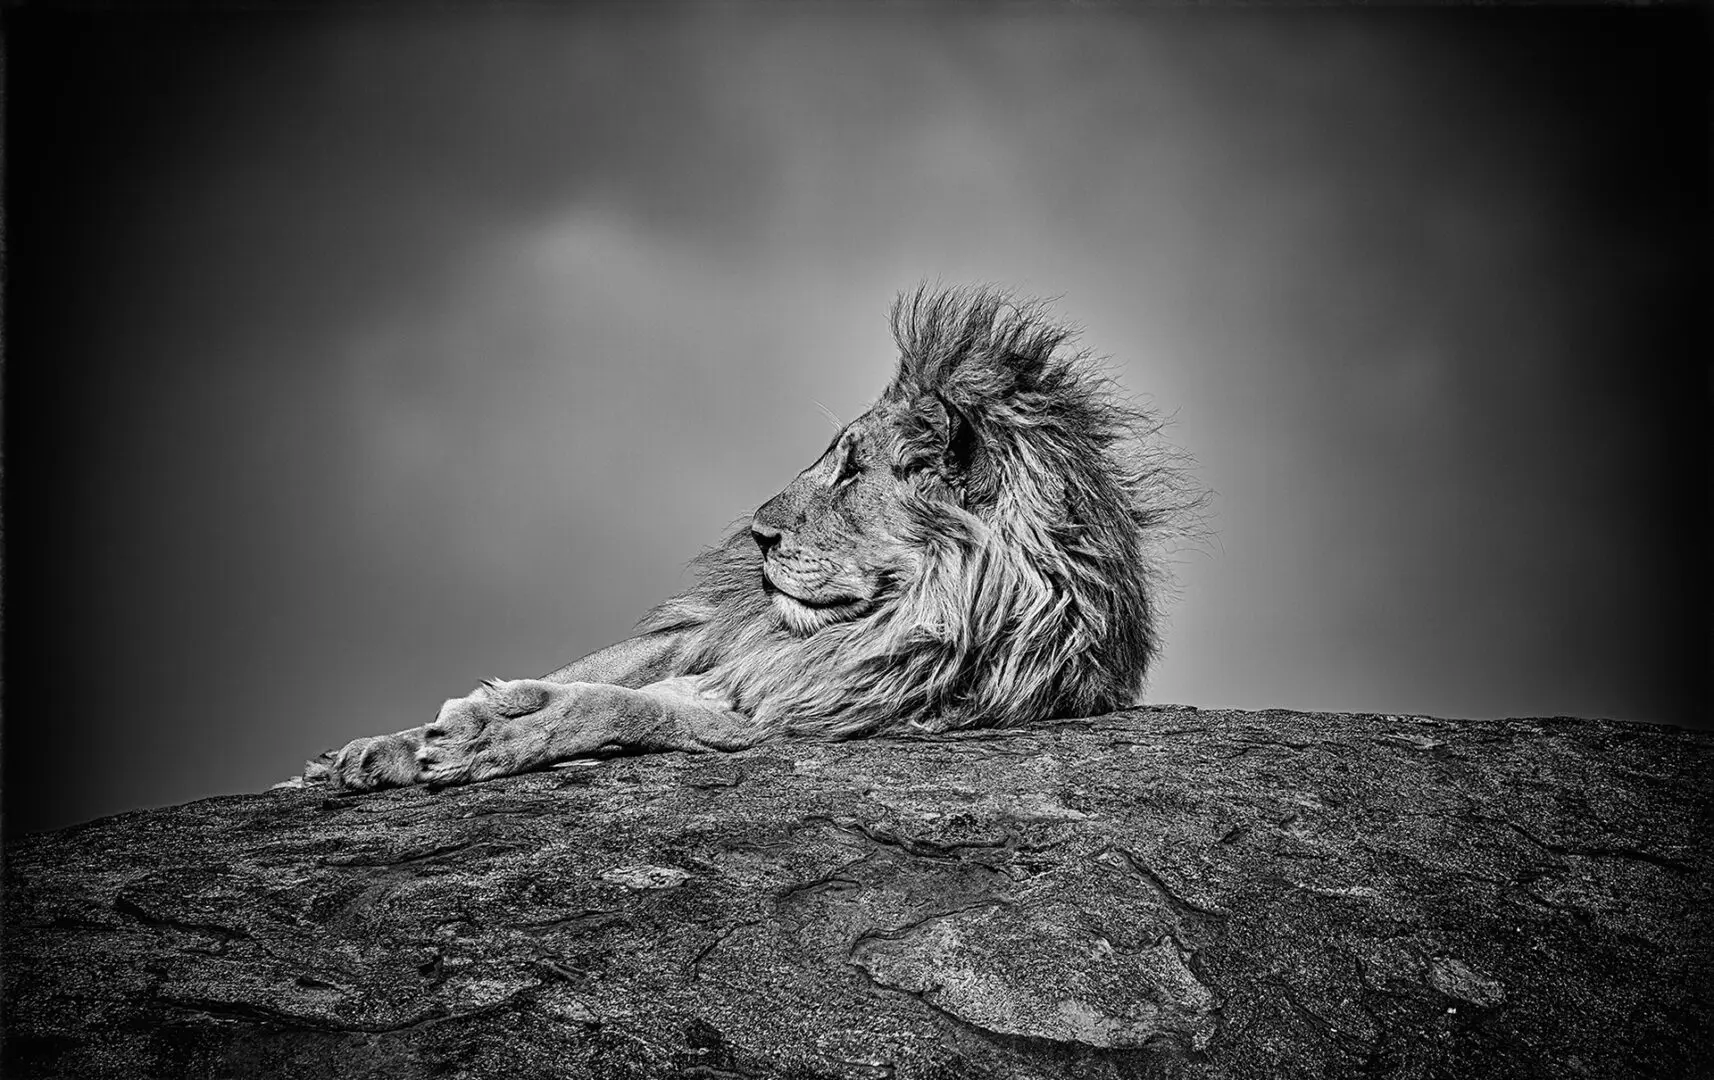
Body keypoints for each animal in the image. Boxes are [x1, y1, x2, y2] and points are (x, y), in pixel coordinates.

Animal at [301, 288, 1199, 795]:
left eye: (852, 472)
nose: (757, 535)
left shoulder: (809, 712)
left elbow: (621, 707)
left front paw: (490, 735)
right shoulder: (722, 644)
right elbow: (587, 680)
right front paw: (415, 738)